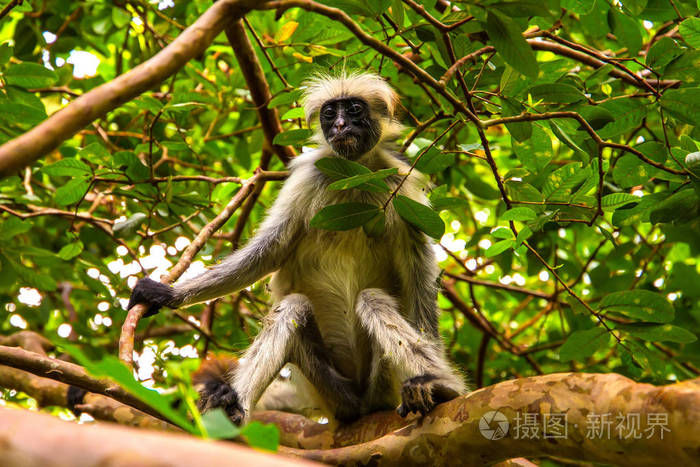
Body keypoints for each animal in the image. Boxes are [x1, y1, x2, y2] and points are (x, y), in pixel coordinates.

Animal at [129, 72, 468, 424]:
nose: (340, 126)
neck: (354, 175)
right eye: (330, 114)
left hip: (382, 382)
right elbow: (268, 251)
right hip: (330, 388)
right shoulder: (310, 174)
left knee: (372, 300)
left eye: (354, 109)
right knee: (293, 307)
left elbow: (418, 277)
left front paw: (444, 381)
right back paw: (231, 406)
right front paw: (166, 294)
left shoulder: (402, 186)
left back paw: (439, 387)